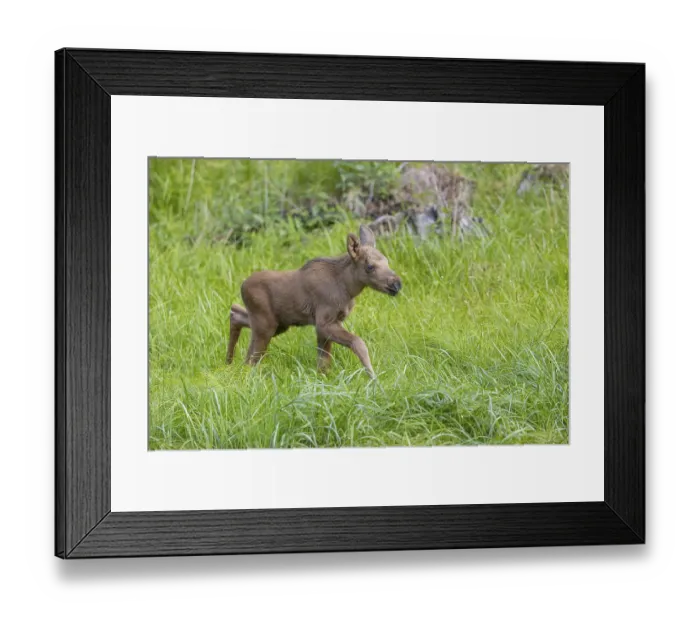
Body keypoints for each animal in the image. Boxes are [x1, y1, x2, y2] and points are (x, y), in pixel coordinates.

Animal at [226, 225, 402, 378]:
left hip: (278, 323)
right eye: (370, 266)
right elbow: (358, 343)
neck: (348, 288)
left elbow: (323, 361)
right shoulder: (323, 322)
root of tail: (242, 285)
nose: (396, 284)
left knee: (236, 314)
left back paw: (229, 361)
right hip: (266, 324)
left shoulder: (330, 323)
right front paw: (373, 377)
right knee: (251, 357)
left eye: (387, 261)